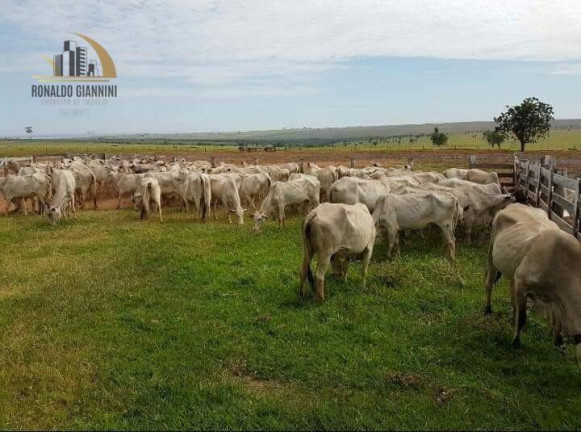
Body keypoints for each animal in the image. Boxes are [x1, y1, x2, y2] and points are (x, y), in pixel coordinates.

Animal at [484, 202, 580, 362]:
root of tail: (515, 204)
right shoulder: (522, 282)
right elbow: (523, 317)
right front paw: (516, 342)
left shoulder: (556, 298)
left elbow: (557, 322)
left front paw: (559, 344)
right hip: (492, 254)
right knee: (489, 284)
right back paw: (487, 310)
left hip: (513, 269)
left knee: (511, 291)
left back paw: (512, 317)